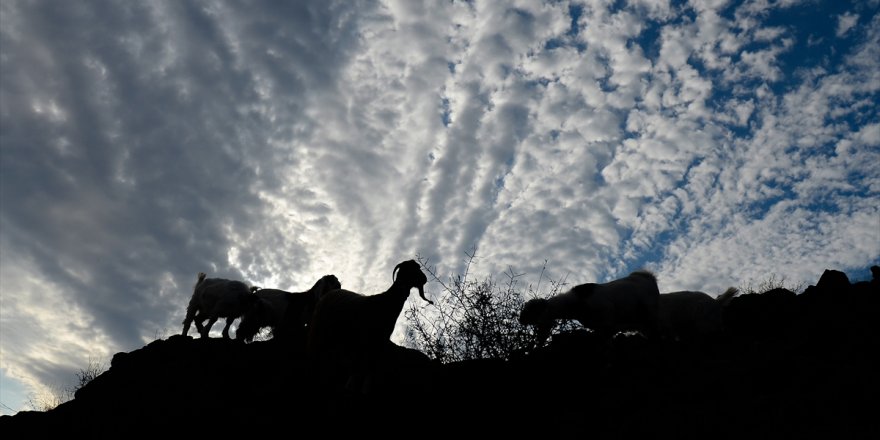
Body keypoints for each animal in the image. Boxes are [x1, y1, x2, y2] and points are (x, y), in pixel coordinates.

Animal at [516, 268, 660, 344]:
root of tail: (648, 277)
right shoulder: (600, 327)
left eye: (530, 310)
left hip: (650, 313)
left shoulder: (607, 318)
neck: (575, 302)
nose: (520, 319)